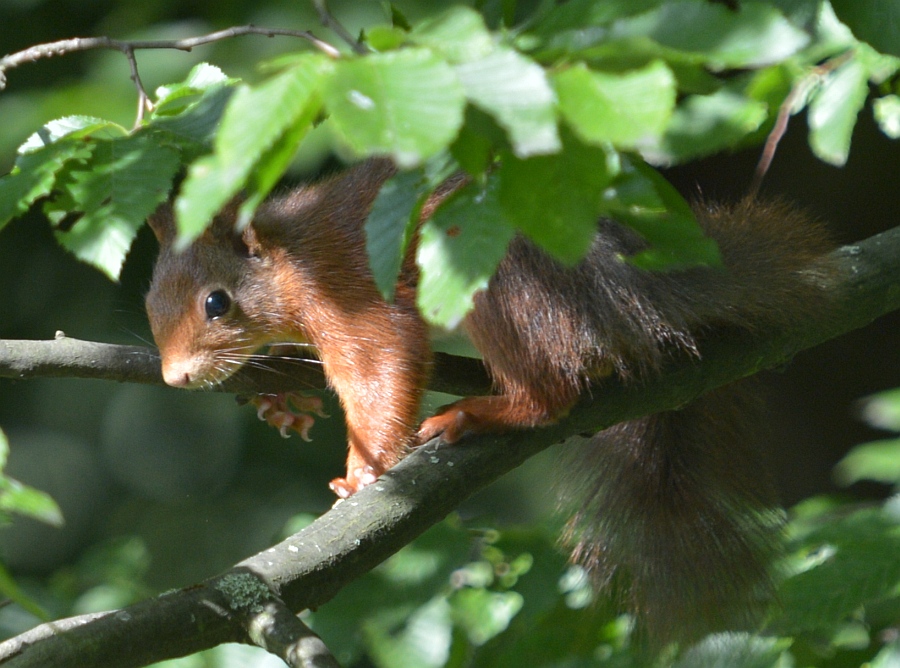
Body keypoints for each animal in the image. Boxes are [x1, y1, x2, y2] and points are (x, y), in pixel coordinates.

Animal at [145, 158, 834, 642]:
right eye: (150, 301)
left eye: (216, 302)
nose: (176, 378)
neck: (292, 257)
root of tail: (633, 297)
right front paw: (281, 400)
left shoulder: (351, 292)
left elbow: (380, 366)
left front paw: (363, 472)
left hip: (503, 280)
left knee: (555, 391)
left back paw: (487, 411)